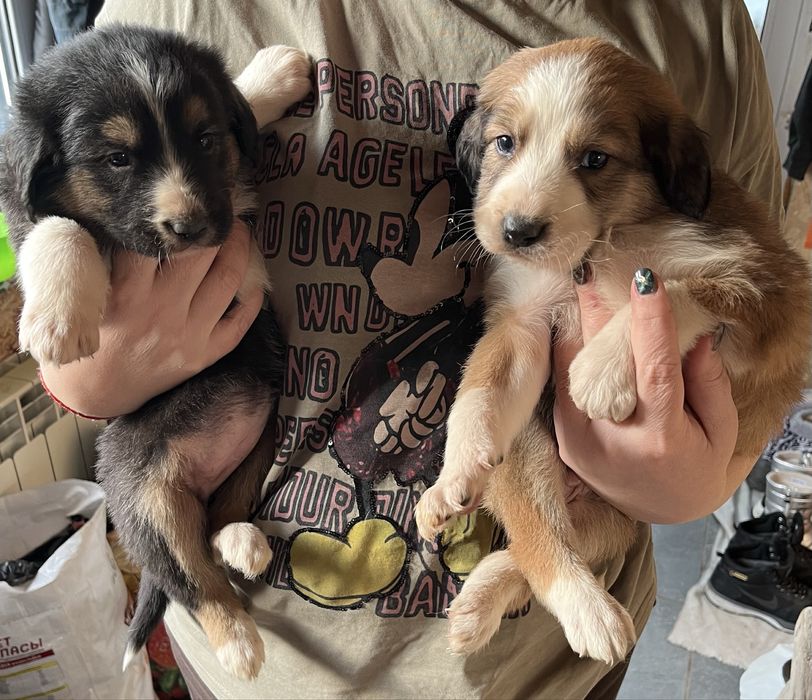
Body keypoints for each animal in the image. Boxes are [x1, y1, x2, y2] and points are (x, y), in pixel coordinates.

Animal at [0, 25, 311, 679]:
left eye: (206, 139)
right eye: (117, 159)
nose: (190, 227)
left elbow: (240, 104)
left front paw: (272, 75)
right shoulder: (27, 214)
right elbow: (58, 228)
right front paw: (58, 321)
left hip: (259, 442)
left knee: (209, 535)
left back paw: (237, 541)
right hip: (145, 499)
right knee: (188, 579)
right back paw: (238, 646)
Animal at [414, 38, 812, 663]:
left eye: (595, 159)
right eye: (505, 143)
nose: (517, 232)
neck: (612, 235)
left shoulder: (765, 287)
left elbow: (675, 288)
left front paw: (600, 370)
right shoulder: (524, 321)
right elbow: (479, 391)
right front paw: (457, 467)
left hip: (618, 516)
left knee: (539, 550)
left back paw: (521, 610)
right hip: (529, 450)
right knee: (542, 537)